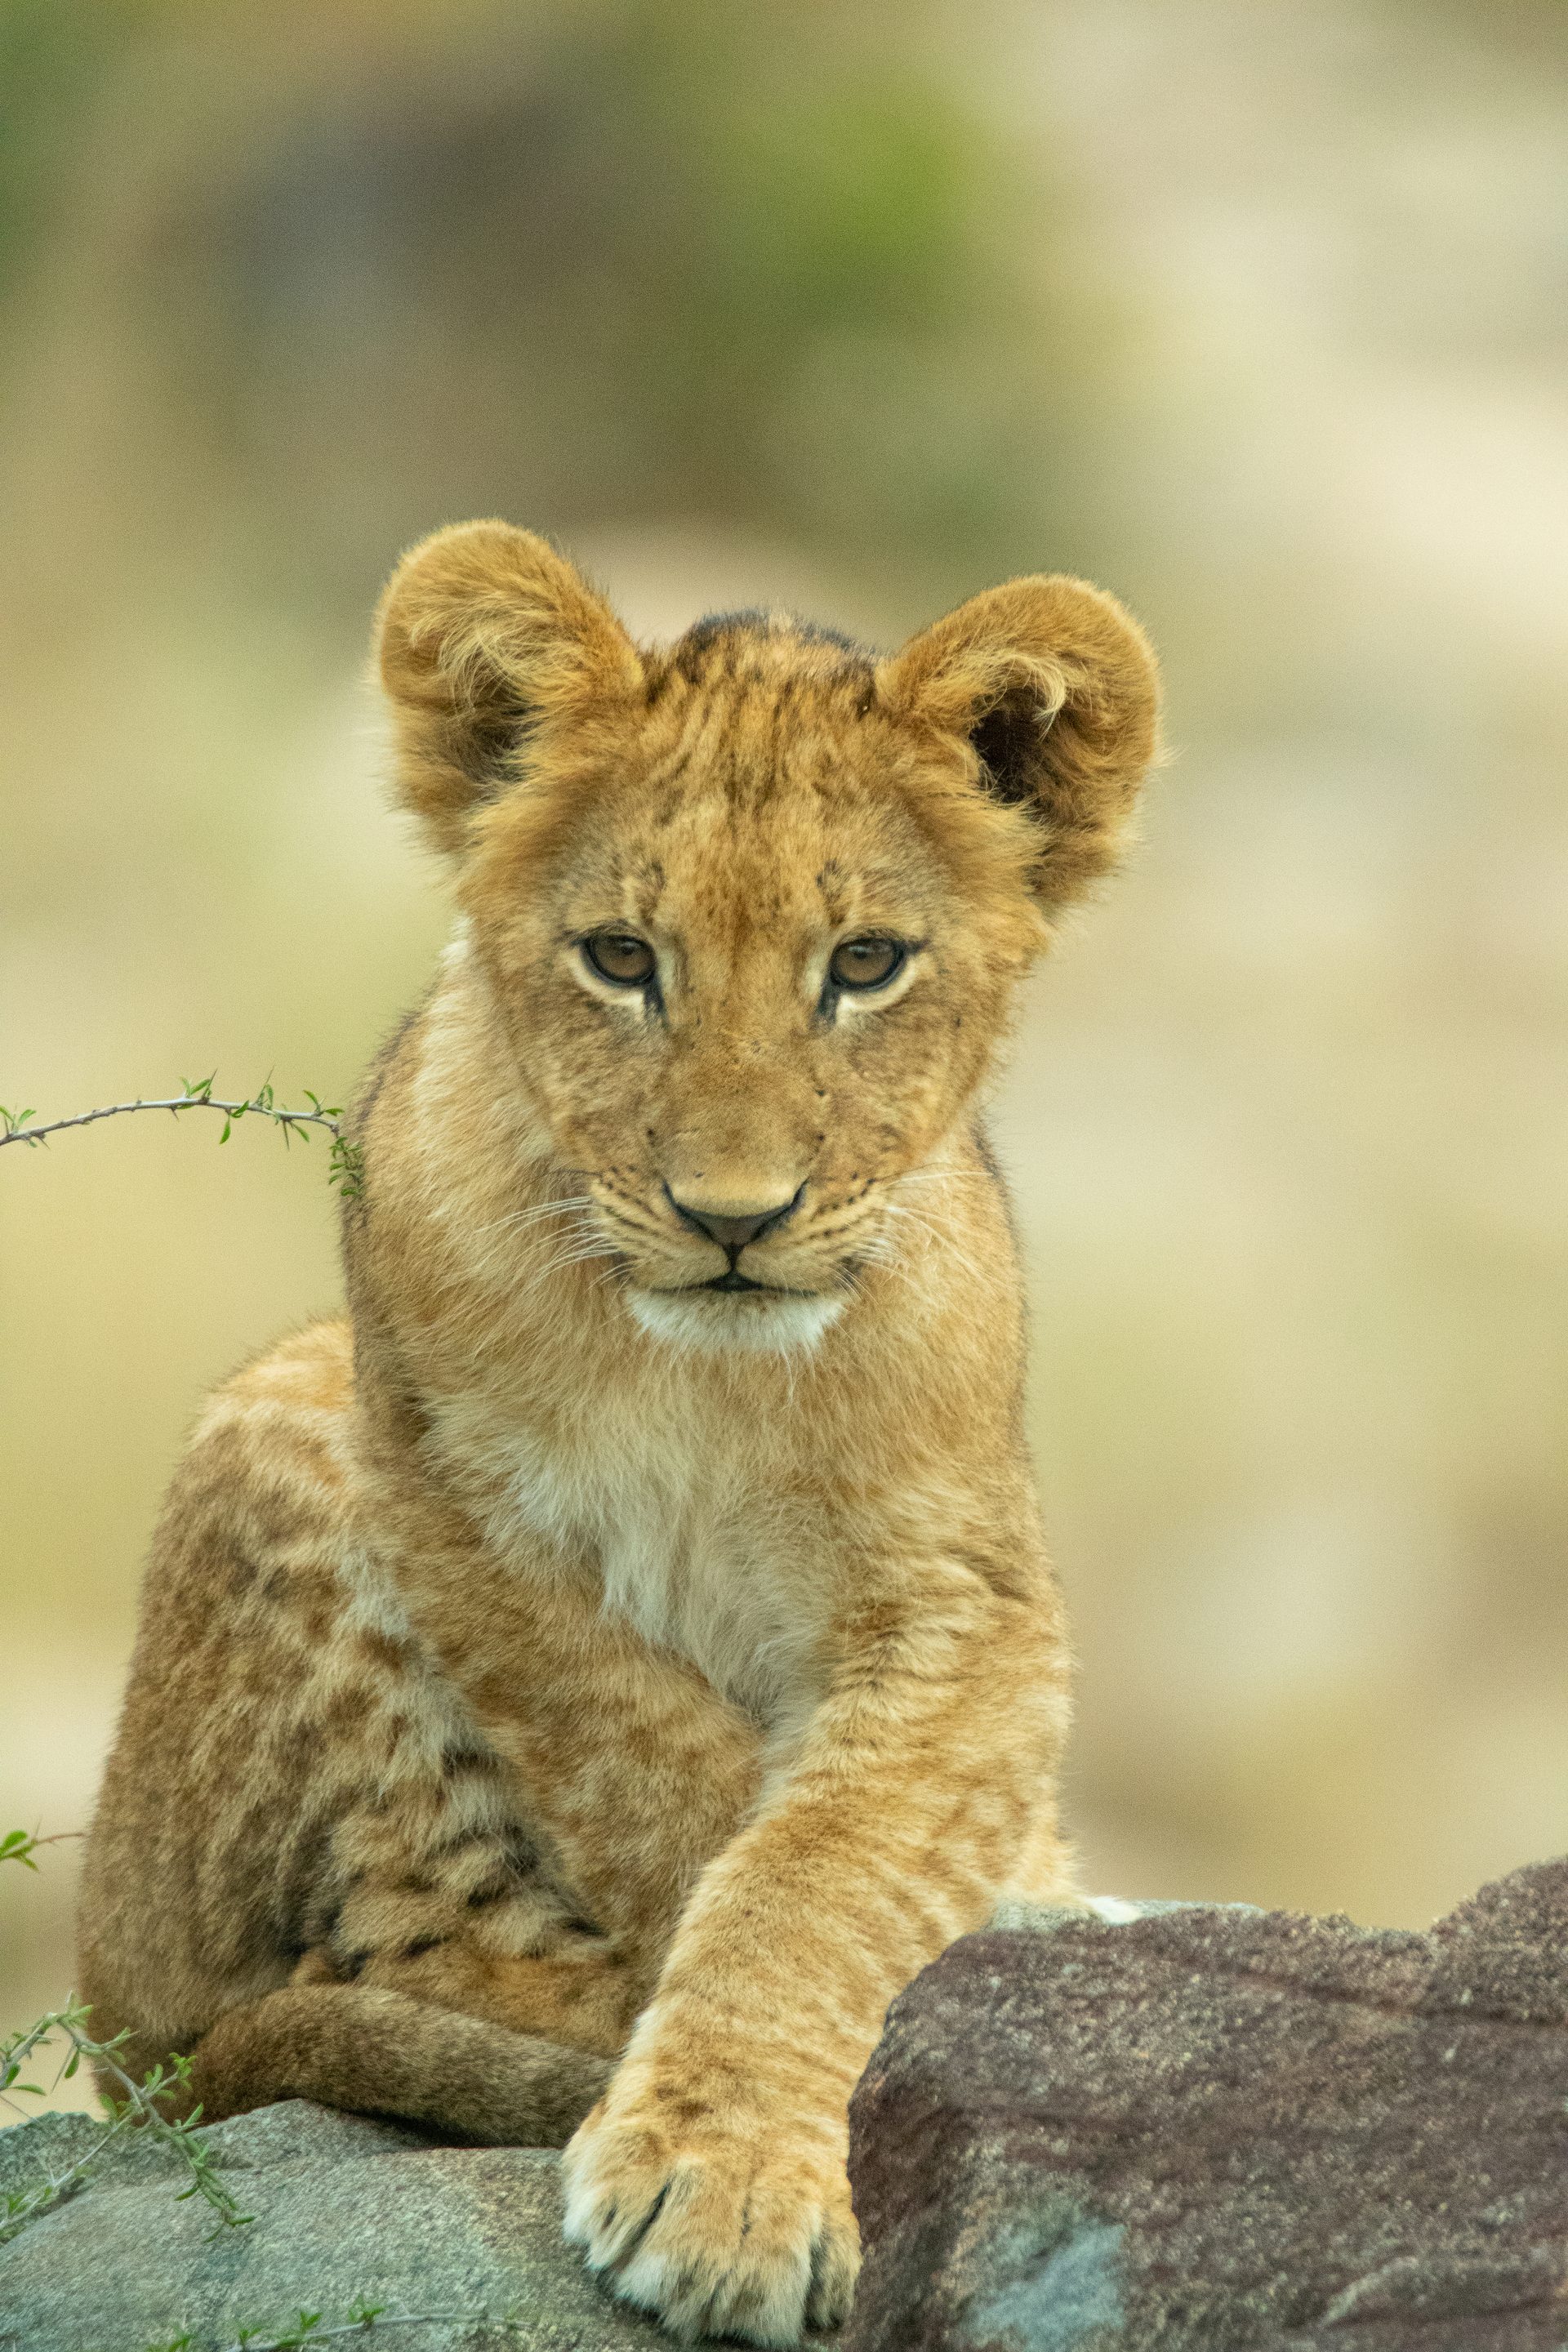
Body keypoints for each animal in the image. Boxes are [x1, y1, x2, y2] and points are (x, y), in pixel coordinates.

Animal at [77, 521, 1159, 2347]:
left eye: (863, 965)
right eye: (621, 959)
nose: (735, 1219)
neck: (709, 1383)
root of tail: (96, 1992)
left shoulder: (973, 1603)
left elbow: (825, 1861)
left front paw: (726, 2170)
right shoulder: (462, 1519)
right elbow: (683, 1801)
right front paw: (728, 2163)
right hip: (282, 1431)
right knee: (378, 1957)